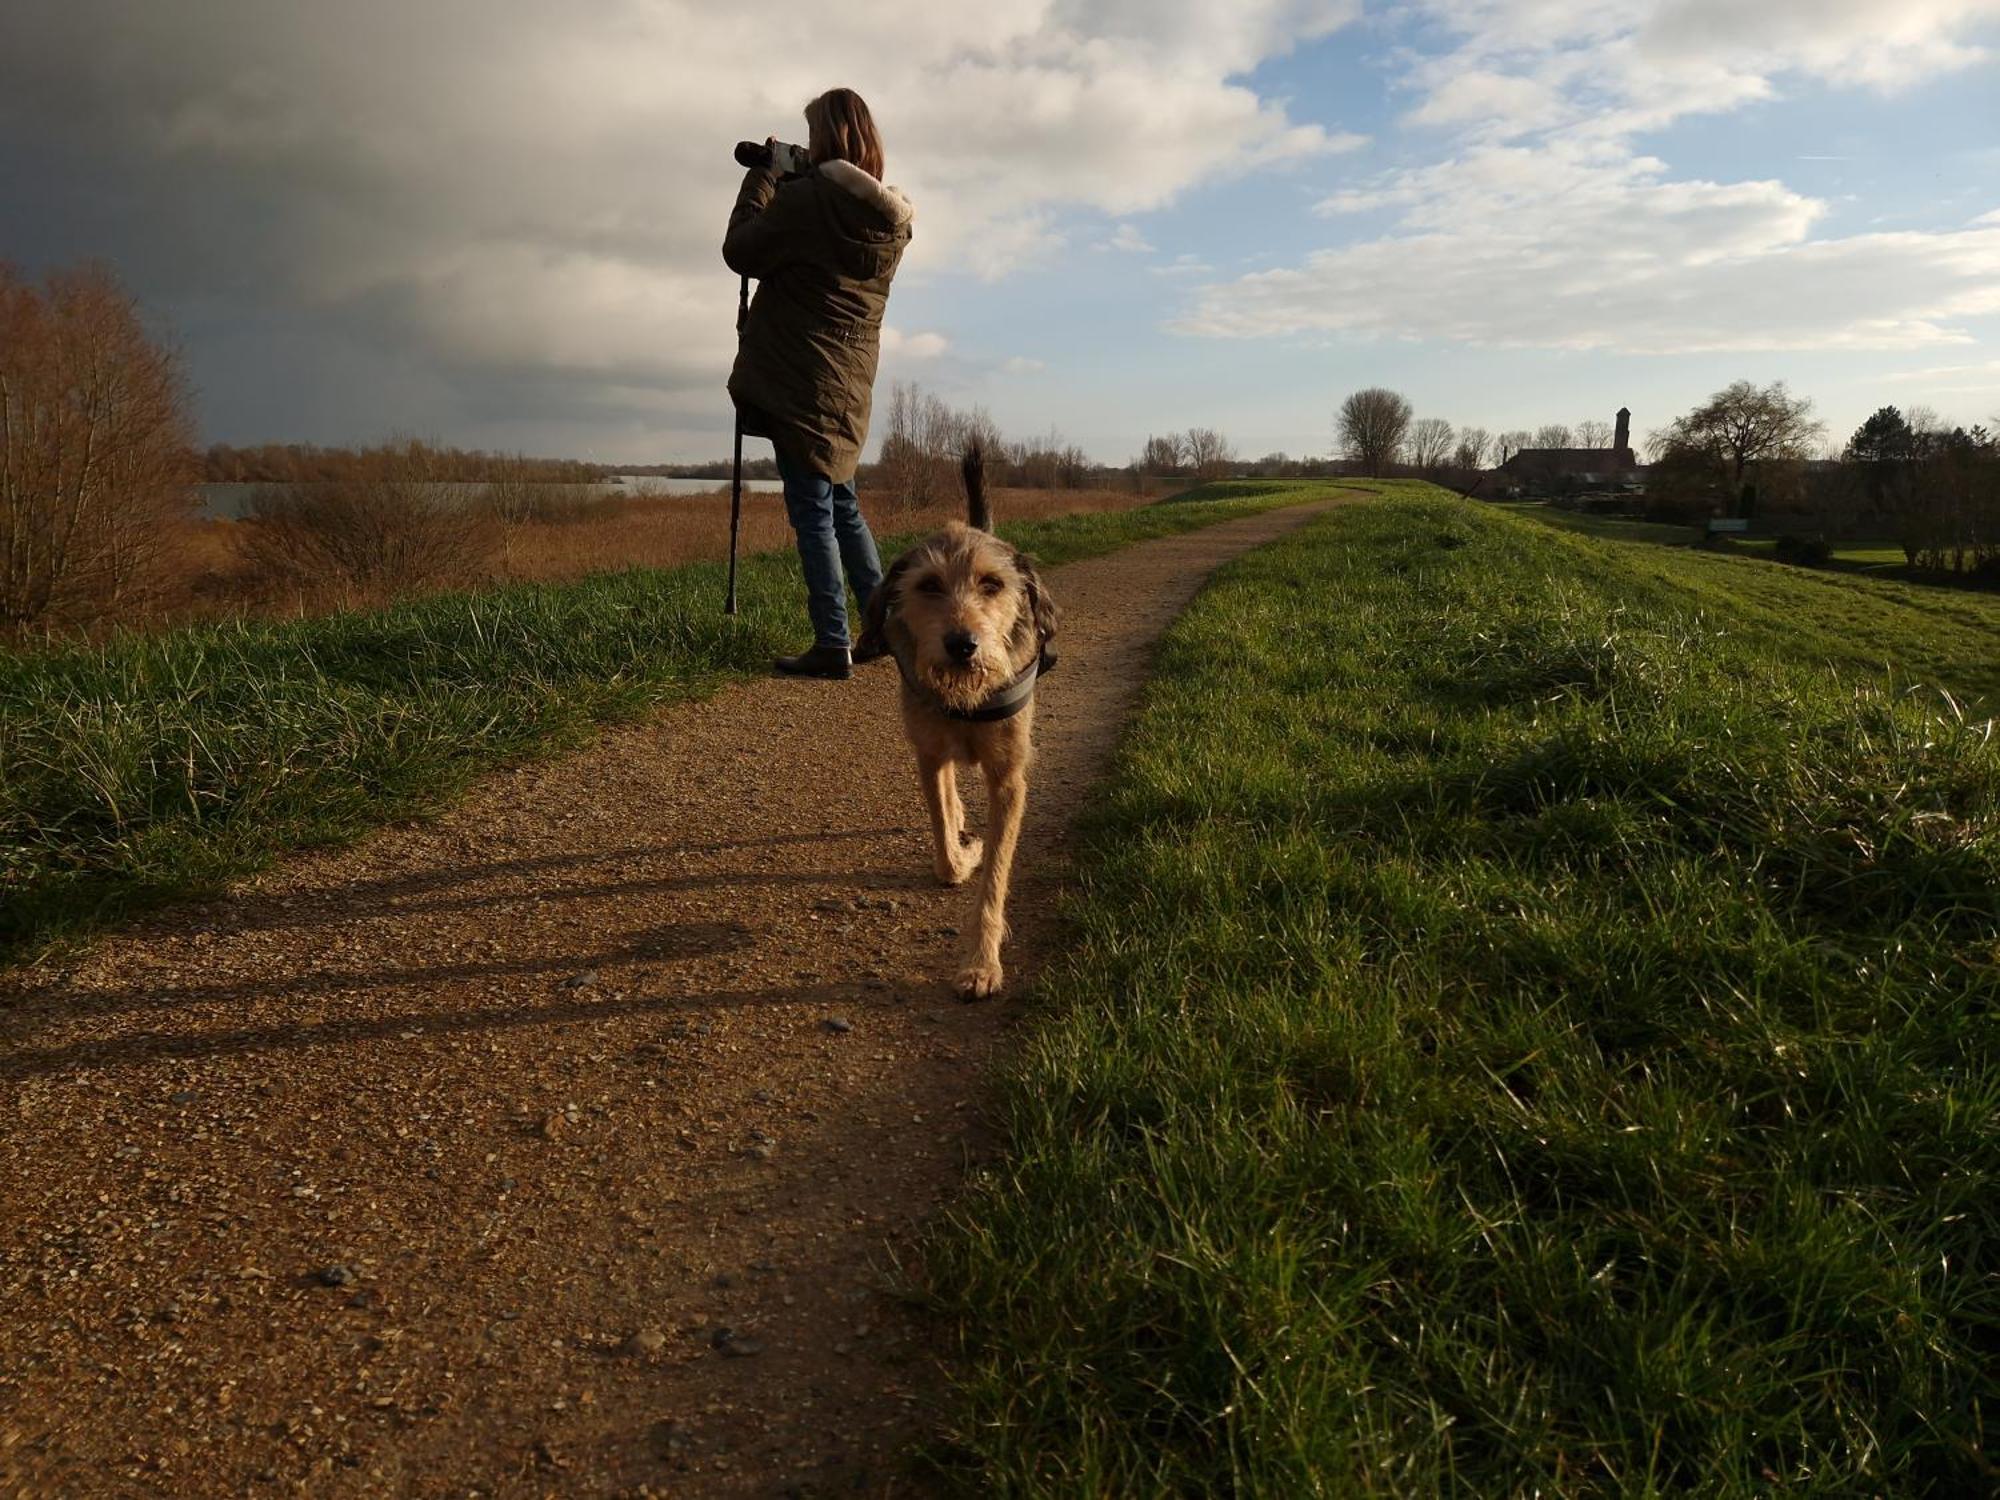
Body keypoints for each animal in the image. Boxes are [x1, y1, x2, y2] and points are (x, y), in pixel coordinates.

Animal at [852, 452, 1056, 1004]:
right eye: (927, 585)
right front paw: (963, 855)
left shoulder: (1009, 778)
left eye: (992, 584)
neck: (967, 698)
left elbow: (996, 877)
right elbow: (944, 844)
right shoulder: (928, 754)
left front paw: (981, 965)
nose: (962, 644)